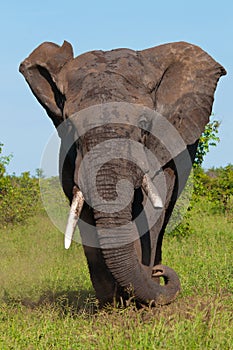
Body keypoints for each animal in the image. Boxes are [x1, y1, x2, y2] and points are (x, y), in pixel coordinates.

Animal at [19, 39, 226, 304]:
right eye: (71, 126)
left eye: (145, 123)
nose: (160, 272)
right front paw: (112, 304)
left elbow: (152, 210)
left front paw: (138, 302)